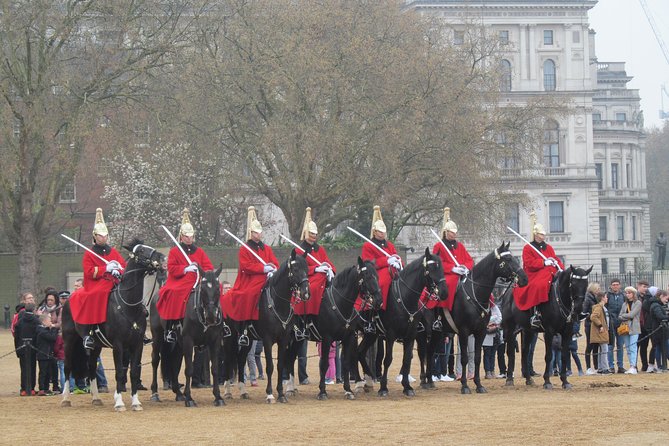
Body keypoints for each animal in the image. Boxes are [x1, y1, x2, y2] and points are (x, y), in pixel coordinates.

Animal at [60, 240, 164, 412]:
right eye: (141, 251)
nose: (162, 258)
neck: (128, 305)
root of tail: (68, 298)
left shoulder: (137, 345)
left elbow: (134, 372)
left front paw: (135, 402)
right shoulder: (118, 345)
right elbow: (120, 373)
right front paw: (119, 403)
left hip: (96, 346)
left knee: (91, 368)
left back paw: (96, 398)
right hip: (69, 341)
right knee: (67, 367)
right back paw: (65, 399)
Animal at [222, 251, 310, 404]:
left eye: (307, 269)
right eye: (295, 269)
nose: (306, 293)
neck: (278, 303)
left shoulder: (284, 339)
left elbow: (280, 365)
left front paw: (281, 394)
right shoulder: (267, 340)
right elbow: (270, 366)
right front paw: (269, 394)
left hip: (248, 340)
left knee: (240, 359)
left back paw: (243, 391)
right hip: (230, 338)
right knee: (228, 360)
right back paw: (227, 392)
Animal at [358, 247, 446, 398]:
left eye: (442, 267)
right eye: (431, 268)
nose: (444, 292)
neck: (405, 297)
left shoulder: (411, 335)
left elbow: (407, 359)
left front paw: (407, 386)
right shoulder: (391, 335)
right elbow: (388, 359)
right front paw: (383, 388)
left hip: (371, 335)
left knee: (360, 352)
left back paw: (368, 382)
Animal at [422, 242, 528, 392]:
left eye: (514, 257)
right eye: (508, 259)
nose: (524, 279)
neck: (475, 293)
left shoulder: (481, 332)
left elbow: (477, 357)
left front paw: (478, 385)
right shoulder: (464, 332)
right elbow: (465, 358)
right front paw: (465, 385)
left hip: (437, 333)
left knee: (430, 353)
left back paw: (430, 382)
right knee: (424, 353)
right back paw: (424, 381)